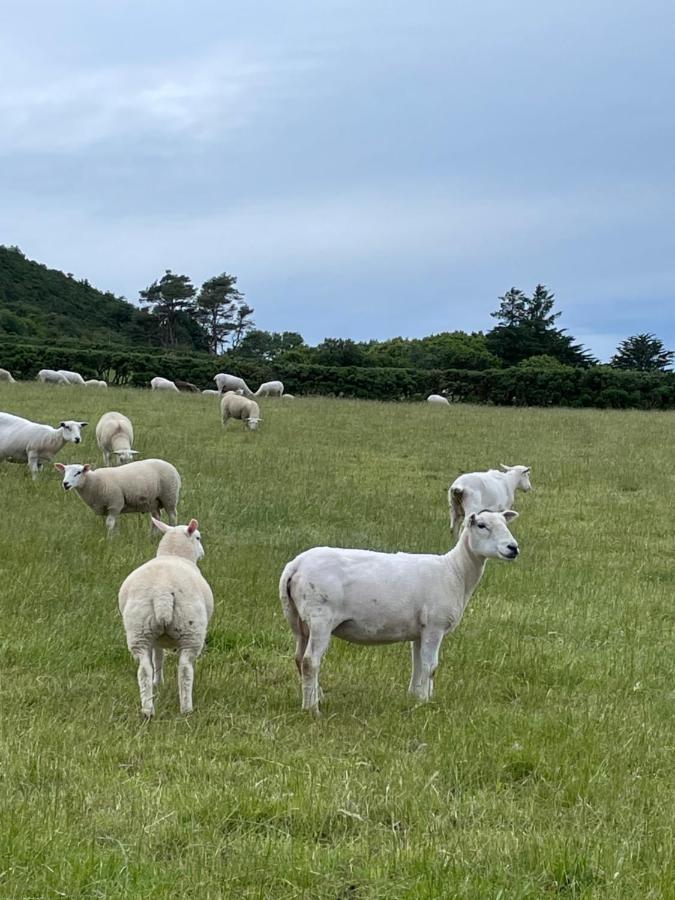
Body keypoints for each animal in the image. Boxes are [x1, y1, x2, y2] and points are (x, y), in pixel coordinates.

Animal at [116, 516, 211, 720]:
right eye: (198, 537)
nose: (202, 553)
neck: (173, 554)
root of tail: (163, 593)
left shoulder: (156, 638)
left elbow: (158, 658)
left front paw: (158, 683)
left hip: (140, 629)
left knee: (144, 669)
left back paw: (147, 709)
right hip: (191, 630)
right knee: (185, 669)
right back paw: (186, 708)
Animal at [280, 510, 524, 712]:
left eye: (505, 523)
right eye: (482, 525)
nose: (513, 548)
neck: (455, 571)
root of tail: (295, 565)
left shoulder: (420, 631)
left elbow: (418, 665)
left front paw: (415, 698)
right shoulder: (434, 626)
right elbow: (431, 667)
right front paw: (425, 703)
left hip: (298, 620)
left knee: (299, 658)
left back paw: (317, 697)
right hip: (320, 616)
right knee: (310, 662)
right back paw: (312, 709)